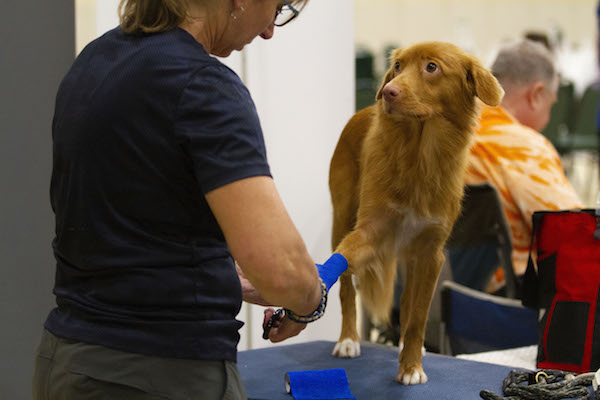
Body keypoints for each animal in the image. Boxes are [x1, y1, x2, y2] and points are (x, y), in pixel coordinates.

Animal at [328, 40, 502, 384]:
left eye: (431, 67)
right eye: (397, 66)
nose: (388, 92)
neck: (419, 155)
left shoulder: (430, 253)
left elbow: (417, 315)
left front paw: (410, 366)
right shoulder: (369, 231)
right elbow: (343, 268)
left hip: (409, 254)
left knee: (407, 303)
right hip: (342, 218)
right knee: (346, 287)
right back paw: (348, 339)